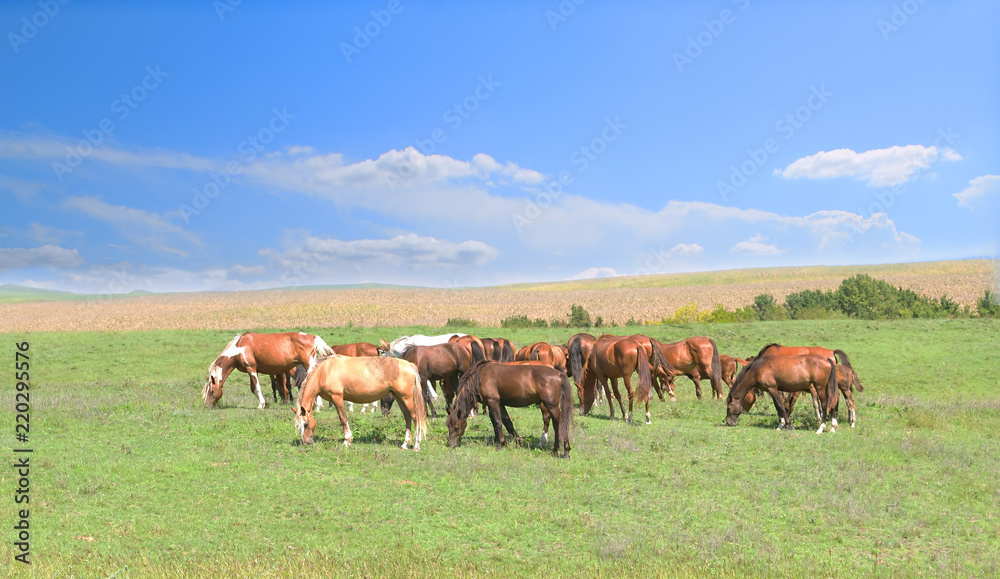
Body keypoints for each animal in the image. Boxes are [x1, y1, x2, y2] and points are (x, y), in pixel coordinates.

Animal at [202, 334, 332, 410]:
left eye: (212, 391)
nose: (206, 405)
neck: (240, 346)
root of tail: (313, 337)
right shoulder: (252, 371)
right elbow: (253, 389)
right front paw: (265, 403)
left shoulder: (251, 369)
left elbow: (257, 387)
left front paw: (261, 404)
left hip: (309, 365)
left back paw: (318, 406)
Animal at [292, 354, 426, 454]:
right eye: (299, 426)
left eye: (306, 424)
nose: (306, 442)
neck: (325, 370)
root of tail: (408, 364)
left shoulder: (337, 397)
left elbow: (343, 418)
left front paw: (347, 441)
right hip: (399, 397)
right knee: (408, 418)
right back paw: (405, 445)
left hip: (406, 398)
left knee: (416, 419)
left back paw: (416, 446)